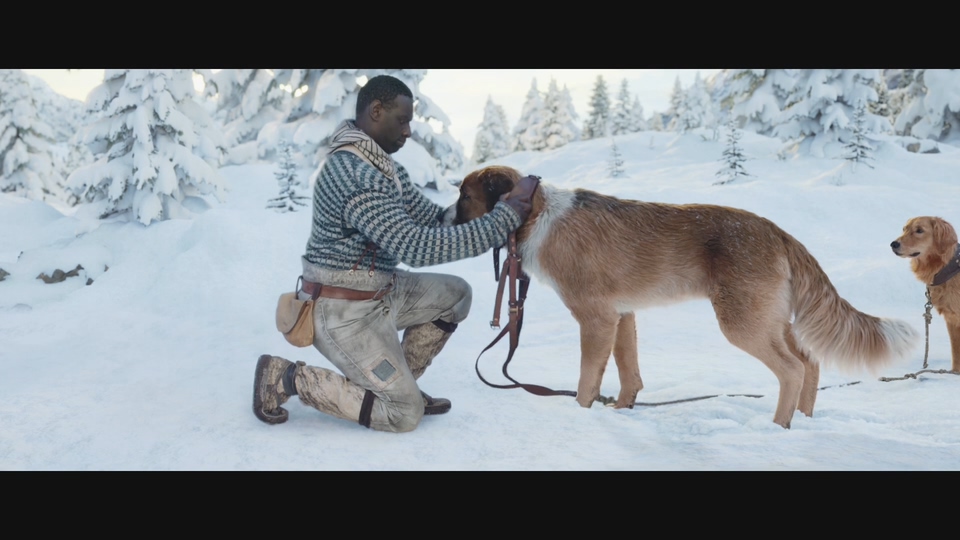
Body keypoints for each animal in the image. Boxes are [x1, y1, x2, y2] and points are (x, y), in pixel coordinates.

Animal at [446, 167, 920, 428]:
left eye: (464, 195)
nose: (444, 218)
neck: (538, 215)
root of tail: (778, 231)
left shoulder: (596, 319)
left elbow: (586, 382)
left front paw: (582, 416)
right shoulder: (623, 315)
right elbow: (629, 373)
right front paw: (622, 411)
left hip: (742, 322)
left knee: (792, 369)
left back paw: (779, 425)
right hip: (770, 320)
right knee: (810, 363)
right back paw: (802, 419)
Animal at [892, 215, 960, 372]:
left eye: (919, 230)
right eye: (904, 229)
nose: (893, 244)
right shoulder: (952, 319)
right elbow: (956, 355)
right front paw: (954, 373)